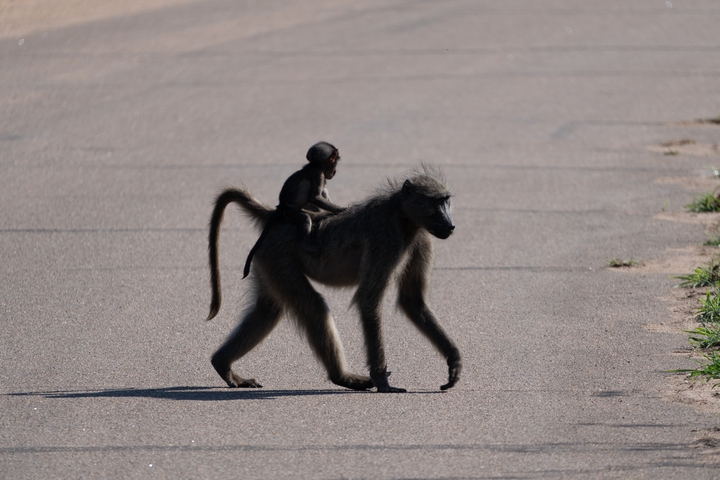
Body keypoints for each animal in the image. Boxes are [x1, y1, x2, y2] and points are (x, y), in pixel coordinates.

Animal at [206, 167, 461, 393]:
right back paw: (344, 378)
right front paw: (382, 381)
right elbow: (368, 300)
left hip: (267, 258)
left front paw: (454, 361)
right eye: (437, 202)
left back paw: (223, 365)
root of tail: (277, 217)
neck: (403, 215)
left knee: (268, 311)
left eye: (447, 201)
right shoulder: (386, 238)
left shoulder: (422, 239)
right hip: (278, 255)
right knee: (314, 307)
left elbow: (412, 301)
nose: (450, 225)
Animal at [241, 141, 345, 279]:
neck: (315, 165)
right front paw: (340, 209)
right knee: (304, 217)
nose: (335, 172)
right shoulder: (319, 175)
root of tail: (281, 207)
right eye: (335, 162)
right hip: (290, 212)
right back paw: (308, 245)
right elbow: (315, 197)